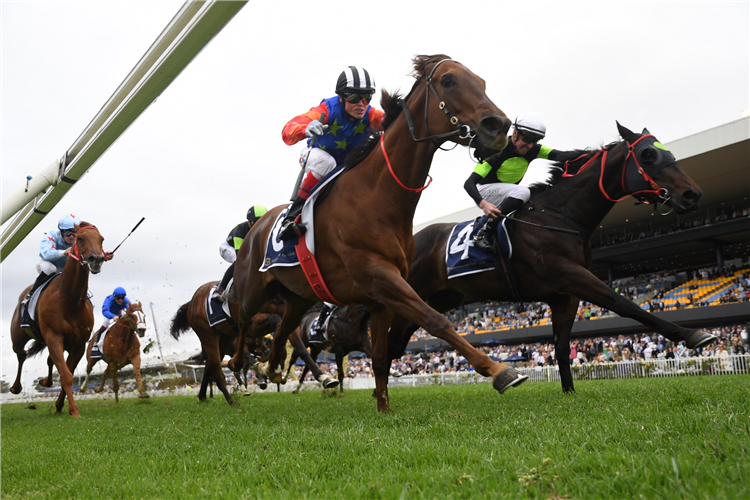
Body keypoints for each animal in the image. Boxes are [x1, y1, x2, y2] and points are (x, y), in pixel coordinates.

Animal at [9, 224, 107, 418]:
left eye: (101, 239)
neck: (70, 300)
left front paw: (60, 405)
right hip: (18, 336)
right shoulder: (54, 337)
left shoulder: (78, 345)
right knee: (21, 354)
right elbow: (66, 375)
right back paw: (16, 387)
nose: (97, 259)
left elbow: (67, 372)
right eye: (80, 238)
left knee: (48, 360)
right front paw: (74, 410)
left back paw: (45, 382)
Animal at [232, 55, 524, 414]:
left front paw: (384, 408)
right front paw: (499, 370)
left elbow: (381, 357)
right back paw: (238, 368)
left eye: (481, 82)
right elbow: (436, 320)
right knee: (241, 321)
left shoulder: (380, 297)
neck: (377, 196)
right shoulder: (379, 277)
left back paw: (269, 368)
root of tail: (256, 228)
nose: (498, 126)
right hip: (253, 290)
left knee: (286, 331)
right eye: (448, 81)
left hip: (298, 297)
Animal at [388, 123, 716, 392]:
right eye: (648, 155)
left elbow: (561, 347)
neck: (561, 216)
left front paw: (569, 393)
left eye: (667, 152)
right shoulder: (570, 275)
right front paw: (692, 334)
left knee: (401, 336)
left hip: (442, 297)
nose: (693, 194)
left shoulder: (564, 296)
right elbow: (623, 302)